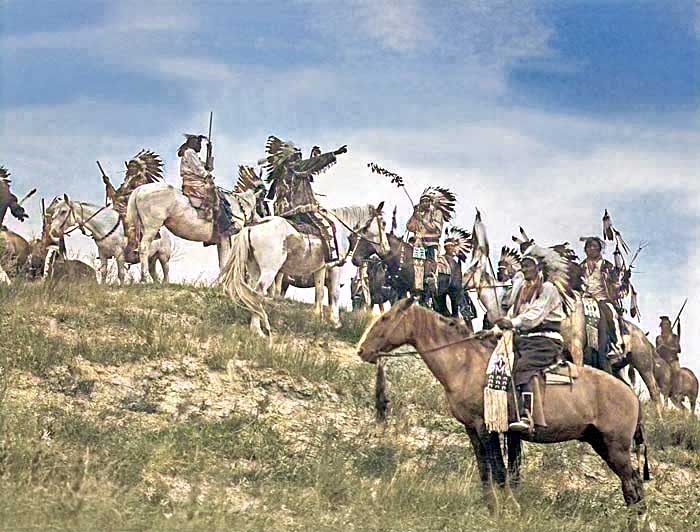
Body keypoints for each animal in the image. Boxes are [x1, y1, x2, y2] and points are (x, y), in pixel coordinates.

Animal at [221, 204, 392, 336]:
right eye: (383, 223)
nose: (387, 249)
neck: (339, 229)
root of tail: (251, 228)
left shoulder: (320, 268)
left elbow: (319, 293)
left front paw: (318, 318)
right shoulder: (336, 268)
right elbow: (334, 294)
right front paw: (336, 322)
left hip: (254, 269)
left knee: (250, 293)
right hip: (269, 271)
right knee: (257, 294)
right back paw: (258, 330)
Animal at [358, 298, 648, 512]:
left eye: (385, 319)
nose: (362, 350)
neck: (466, 364)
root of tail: (632, 396)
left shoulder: (488, 428)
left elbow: (498, 471)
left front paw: (508, 509)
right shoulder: (472, 430)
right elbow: (485, 472)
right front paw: (491, 508)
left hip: (616, 447)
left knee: (633, 486)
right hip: (600, 442)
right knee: (632, 488)